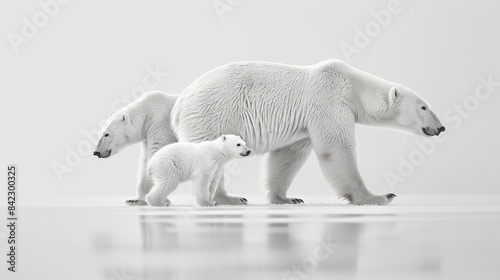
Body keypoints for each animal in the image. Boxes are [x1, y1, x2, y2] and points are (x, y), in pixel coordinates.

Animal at [172, 59, 446, 205]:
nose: (441, 127)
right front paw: (378, 196)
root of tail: (180, 102)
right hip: (213, 115)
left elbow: (287, 156)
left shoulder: (304, 125)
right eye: (424, 106)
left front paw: (286, 198)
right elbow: (336, 149)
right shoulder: (329, 101)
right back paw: (228, 198)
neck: (353, 87)